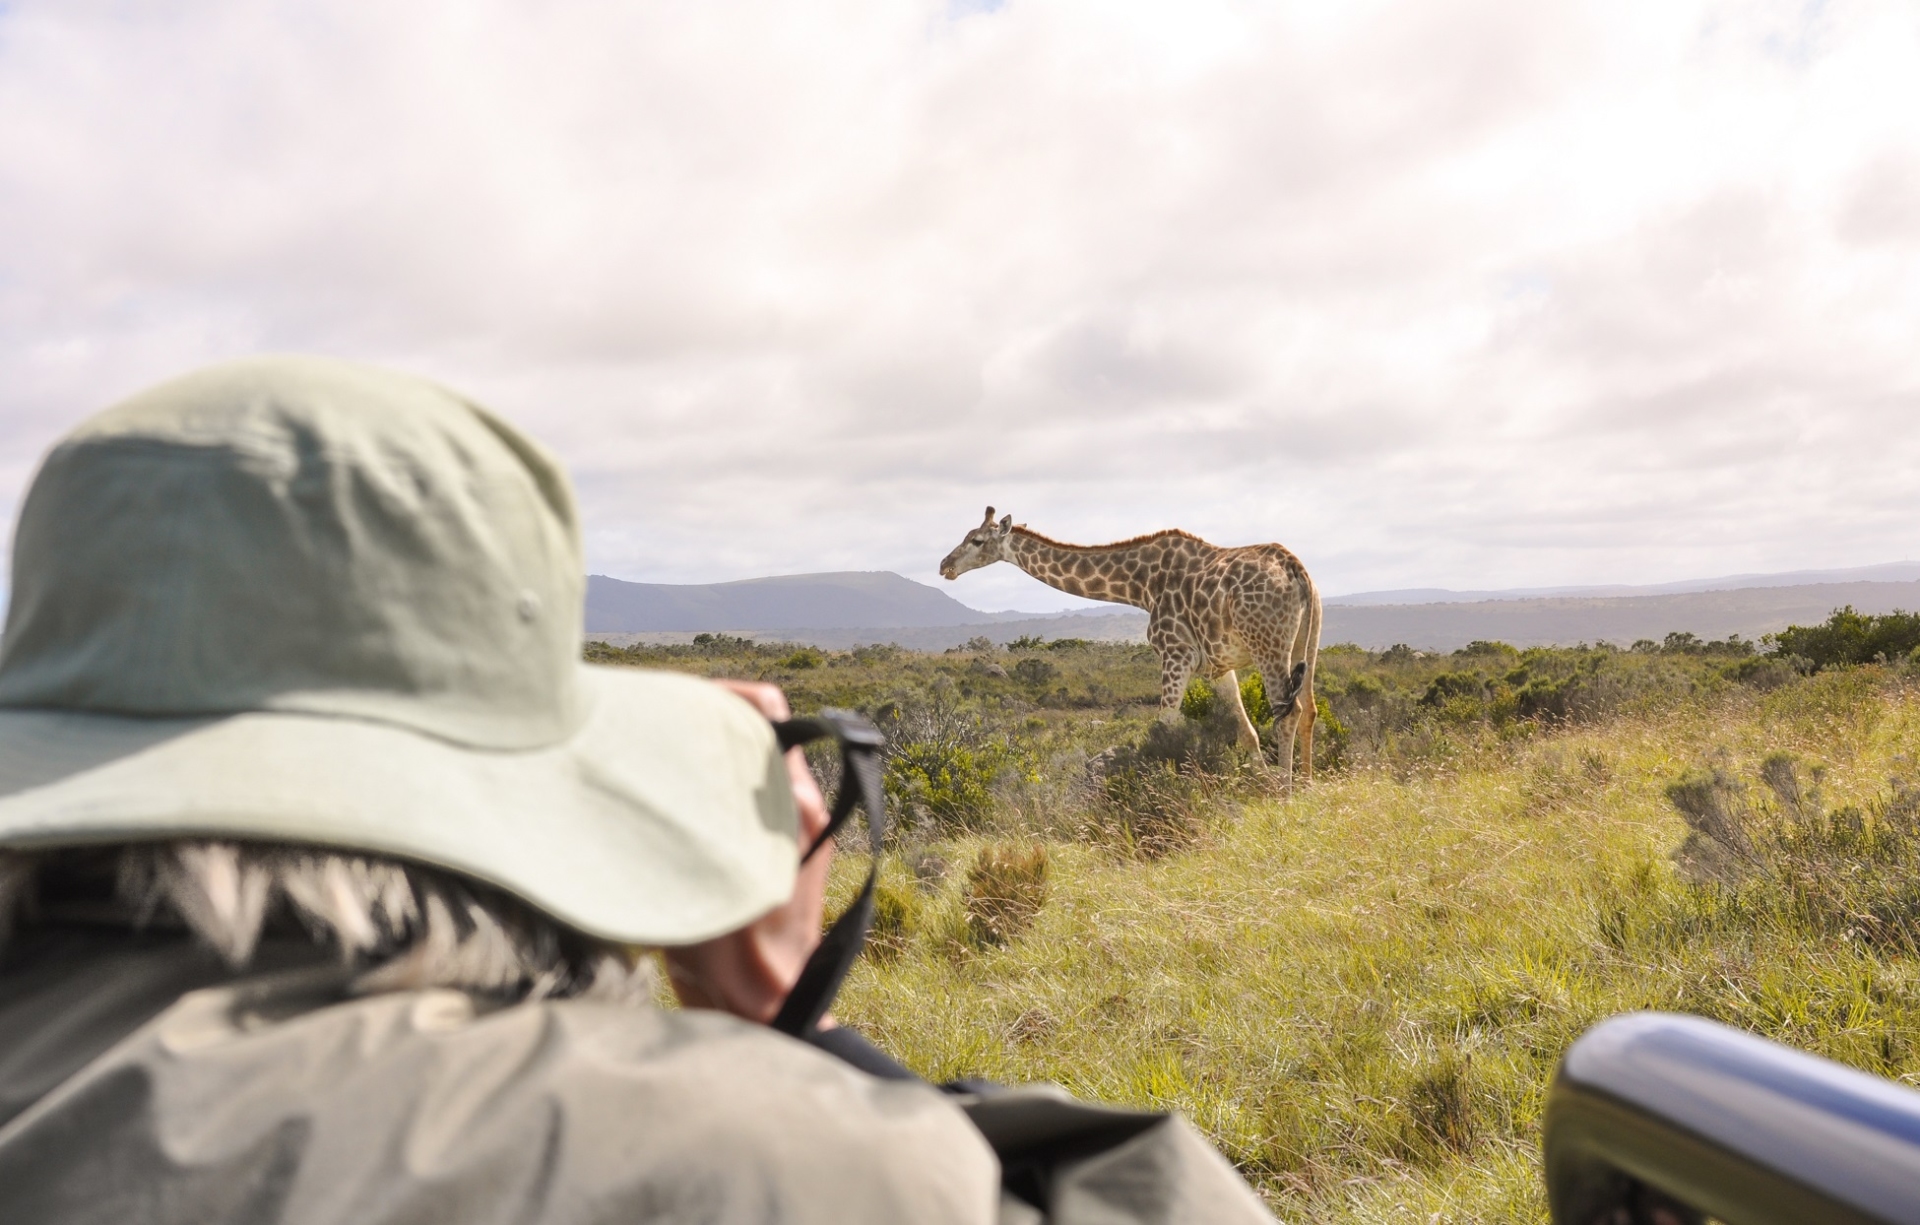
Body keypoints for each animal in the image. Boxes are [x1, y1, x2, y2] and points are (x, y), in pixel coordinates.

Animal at [939, 507, 1322, 789]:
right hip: (1306, 640)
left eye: (976, 540)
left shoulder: (1175, 653)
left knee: (1289, 713)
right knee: (1310, 709)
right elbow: (1246, 733)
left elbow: (1164, 726)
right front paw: (1263, 787)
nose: (945, 565)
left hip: (1267, 644)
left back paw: (1288, 793)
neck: (1141, 586)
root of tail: (1295, 569)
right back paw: (1306, 787)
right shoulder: (1216, 666)